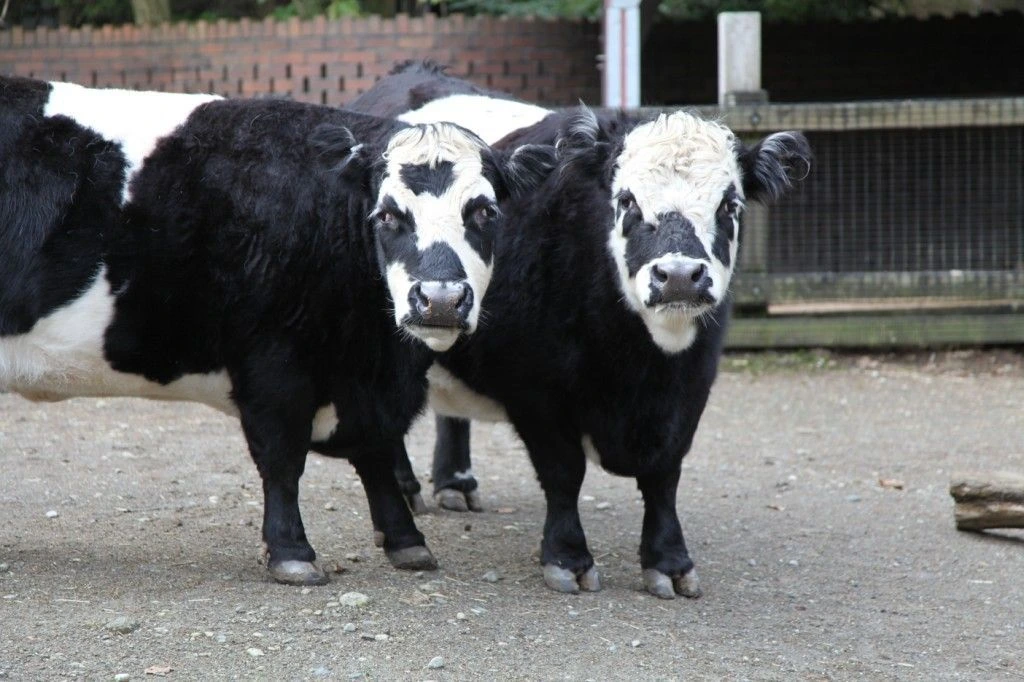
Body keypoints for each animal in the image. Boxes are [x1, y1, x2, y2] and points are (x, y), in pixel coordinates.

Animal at [2, 75, 561, 585]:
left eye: (484, 211)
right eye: (387, 214)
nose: (440, 298)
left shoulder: (370, 382)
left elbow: (378, 450)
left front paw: (406, 541)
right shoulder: (273, 365)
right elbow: (282, 459)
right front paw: (292, 551)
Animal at [352, 63, 806, 593]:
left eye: (729, 205)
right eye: (626, 201)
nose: (678, 275)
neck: (641, 372)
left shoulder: (693, 383)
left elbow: (664, 477)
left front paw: (669, 561)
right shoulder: (536, 391)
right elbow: (563, 474)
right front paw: (568, 558)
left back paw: (455, 483)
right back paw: (406, 488)